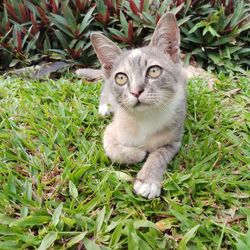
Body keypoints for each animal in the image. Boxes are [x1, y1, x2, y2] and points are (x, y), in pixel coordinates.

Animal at [78, 12, 188, 198]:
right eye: (121, 78)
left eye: (154, 71)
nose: (136, 91)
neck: (145, 118)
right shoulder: (111, 131)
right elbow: (114, 150)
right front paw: (138, 153)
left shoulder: (174, 139)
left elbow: (160, 154)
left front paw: (148, 180)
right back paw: (105, 107)